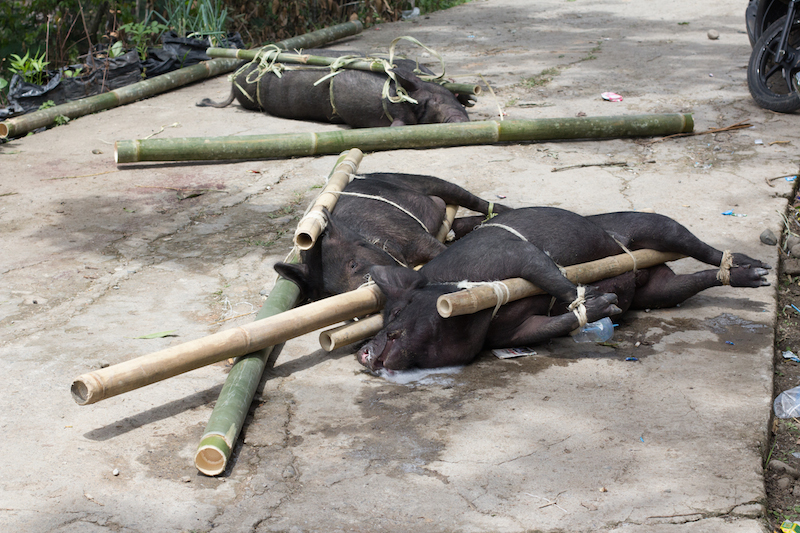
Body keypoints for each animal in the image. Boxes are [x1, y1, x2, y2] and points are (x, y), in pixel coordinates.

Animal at [274, 172, 509, 301]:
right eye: (330, 292)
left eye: (353, 264)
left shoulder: (414, 236)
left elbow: (441, 253)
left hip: (423, 181)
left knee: (471, 199)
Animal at [357, 207, 771, 371]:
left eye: (397, 311)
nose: (363, 352)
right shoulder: (512, 333)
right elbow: (550, 326)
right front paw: (608, 306)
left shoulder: (518, 255)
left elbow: (554, 278)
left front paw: (603, 302)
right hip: (658, 290)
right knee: (682, 284)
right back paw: (747, 277)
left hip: (654, 224)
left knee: (697, 246)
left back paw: (756, 269)